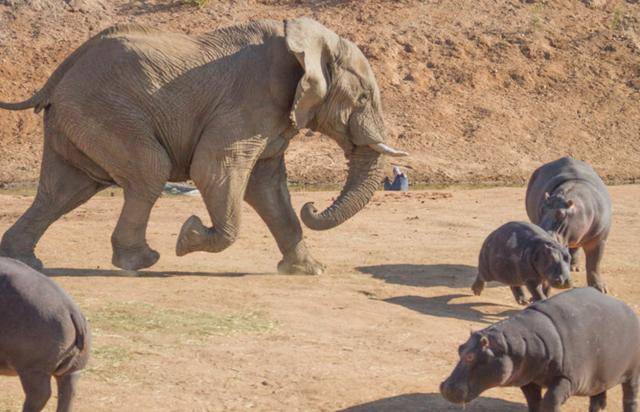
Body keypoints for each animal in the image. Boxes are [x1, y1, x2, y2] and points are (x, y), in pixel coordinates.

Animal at [0, 16, 408, 274]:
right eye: (363, 98)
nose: (314, 205)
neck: (305, 42)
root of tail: (64, 69)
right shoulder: (249, 102)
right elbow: (214, 168)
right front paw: (188, 236)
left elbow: (268, 187)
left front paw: (310, 271)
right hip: (103, 110)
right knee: (149, 171)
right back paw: (141, 261)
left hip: (78, 118)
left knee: (65, 190)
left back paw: (24, 262)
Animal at [440, 286, 640, 412]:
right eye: (460, 348)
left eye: (471, 357)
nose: (445, 387)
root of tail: (629, 309)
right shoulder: (528, 379)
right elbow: (533, 402)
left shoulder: (566, 378)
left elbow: (549, 402)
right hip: (601, 373)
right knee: (598, 399)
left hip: (632, 373)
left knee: (630, 397)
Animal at [528, 156, 612, 292]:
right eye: (541, 209)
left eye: (561, 214)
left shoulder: (599, 239)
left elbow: (594, 264)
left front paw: (600, 289)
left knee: (576, 248)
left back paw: (575, 268)